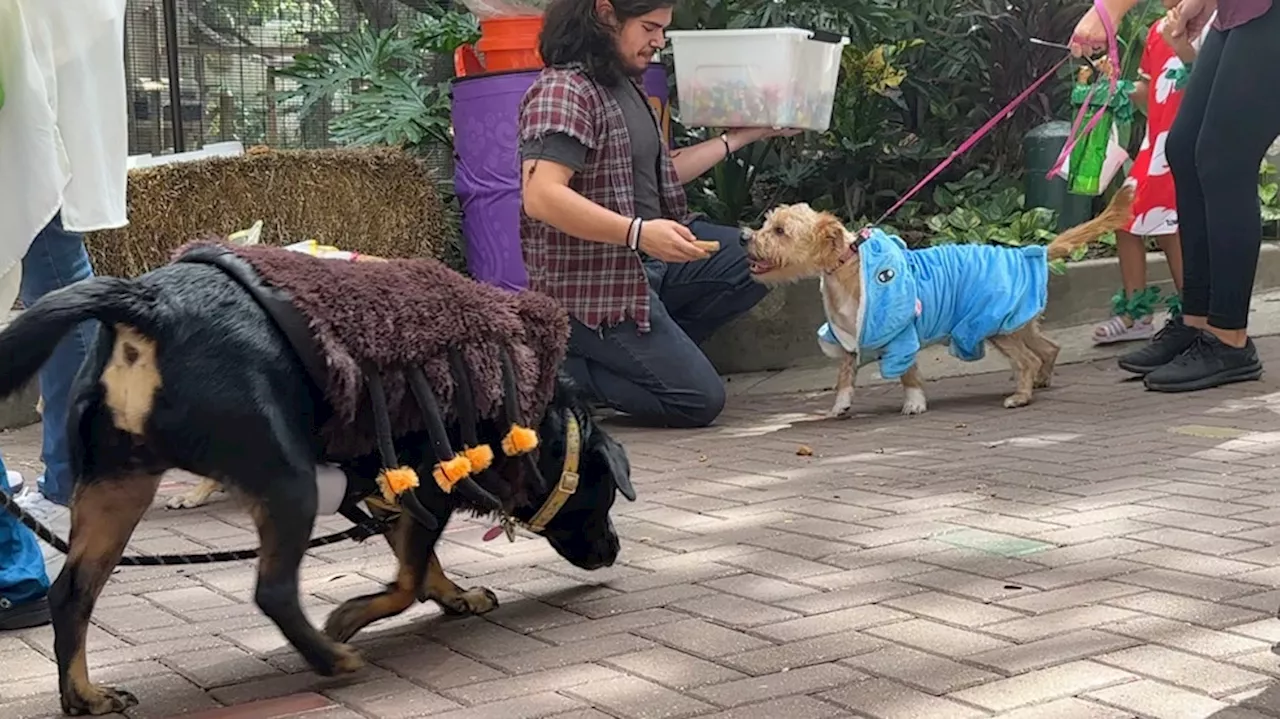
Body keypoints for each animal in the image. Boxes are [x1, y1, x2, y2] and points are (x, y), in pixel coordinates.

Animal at [0, 252, 634, 711]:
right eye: (602, 498)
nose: (613, 551)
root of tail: (151, 305)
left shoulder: (398, 497)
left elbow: (422, 567)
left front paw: (456, 596)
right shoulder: (426, 488)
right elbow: (407, 580)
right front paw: (350, 619)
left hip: (117, 488)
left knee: (71, 595)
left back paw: (84, 695)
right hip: (288, 484)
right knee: (273, 591)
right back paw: (330, 658)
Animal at [747, 188, 1136, 417]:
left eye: (780, 231)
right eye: (769, 225)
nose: (745, 238)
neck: (849, 266)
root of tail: (1029, 251)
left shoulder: (902, 334)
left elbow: (908, 373)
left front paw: (914, 403)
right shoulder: (848, 337)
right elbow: (844, 375)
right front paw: (841, 404)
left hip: (992, 324)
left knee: (1026, 360)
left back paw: (1021, 396)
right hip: (1018, 322)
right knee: (1049, 349)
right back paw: (1040, 382)